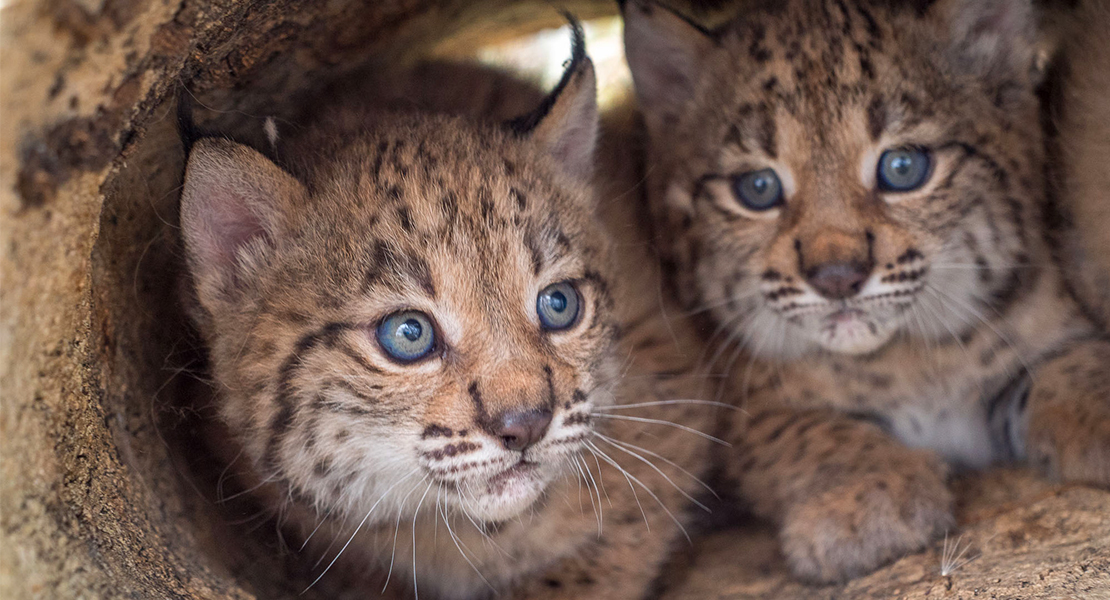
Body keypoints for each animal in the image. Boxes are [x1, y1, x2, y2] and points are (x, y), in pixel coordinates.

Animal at [621, 0, 1110, 581]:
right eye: (757, 188)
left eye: (903, 167)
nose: (837, 277)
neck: (906, 357)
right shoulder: (737, 404)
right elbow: (802, 430)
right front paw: (863, 499)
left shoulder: (1048, 329)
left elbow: (1075, 369)